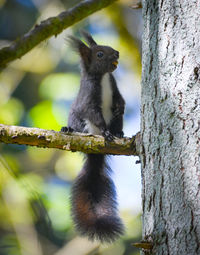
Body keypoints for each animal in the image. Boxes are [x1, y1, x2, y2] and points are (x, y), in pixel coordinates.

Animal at [61, 30, 125, 242]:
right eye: (99, 54)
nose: (117, 53)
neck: (103, 77)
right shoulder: (88, 100)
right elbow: (94, 114)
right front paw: (105, 131)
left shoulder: (114, 87)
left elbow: (119, 100)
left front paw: (121, 108)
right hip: (78, 120)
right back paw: (69, 130)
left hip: (116, 121)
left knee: (117, 121)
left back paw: (119, 132)